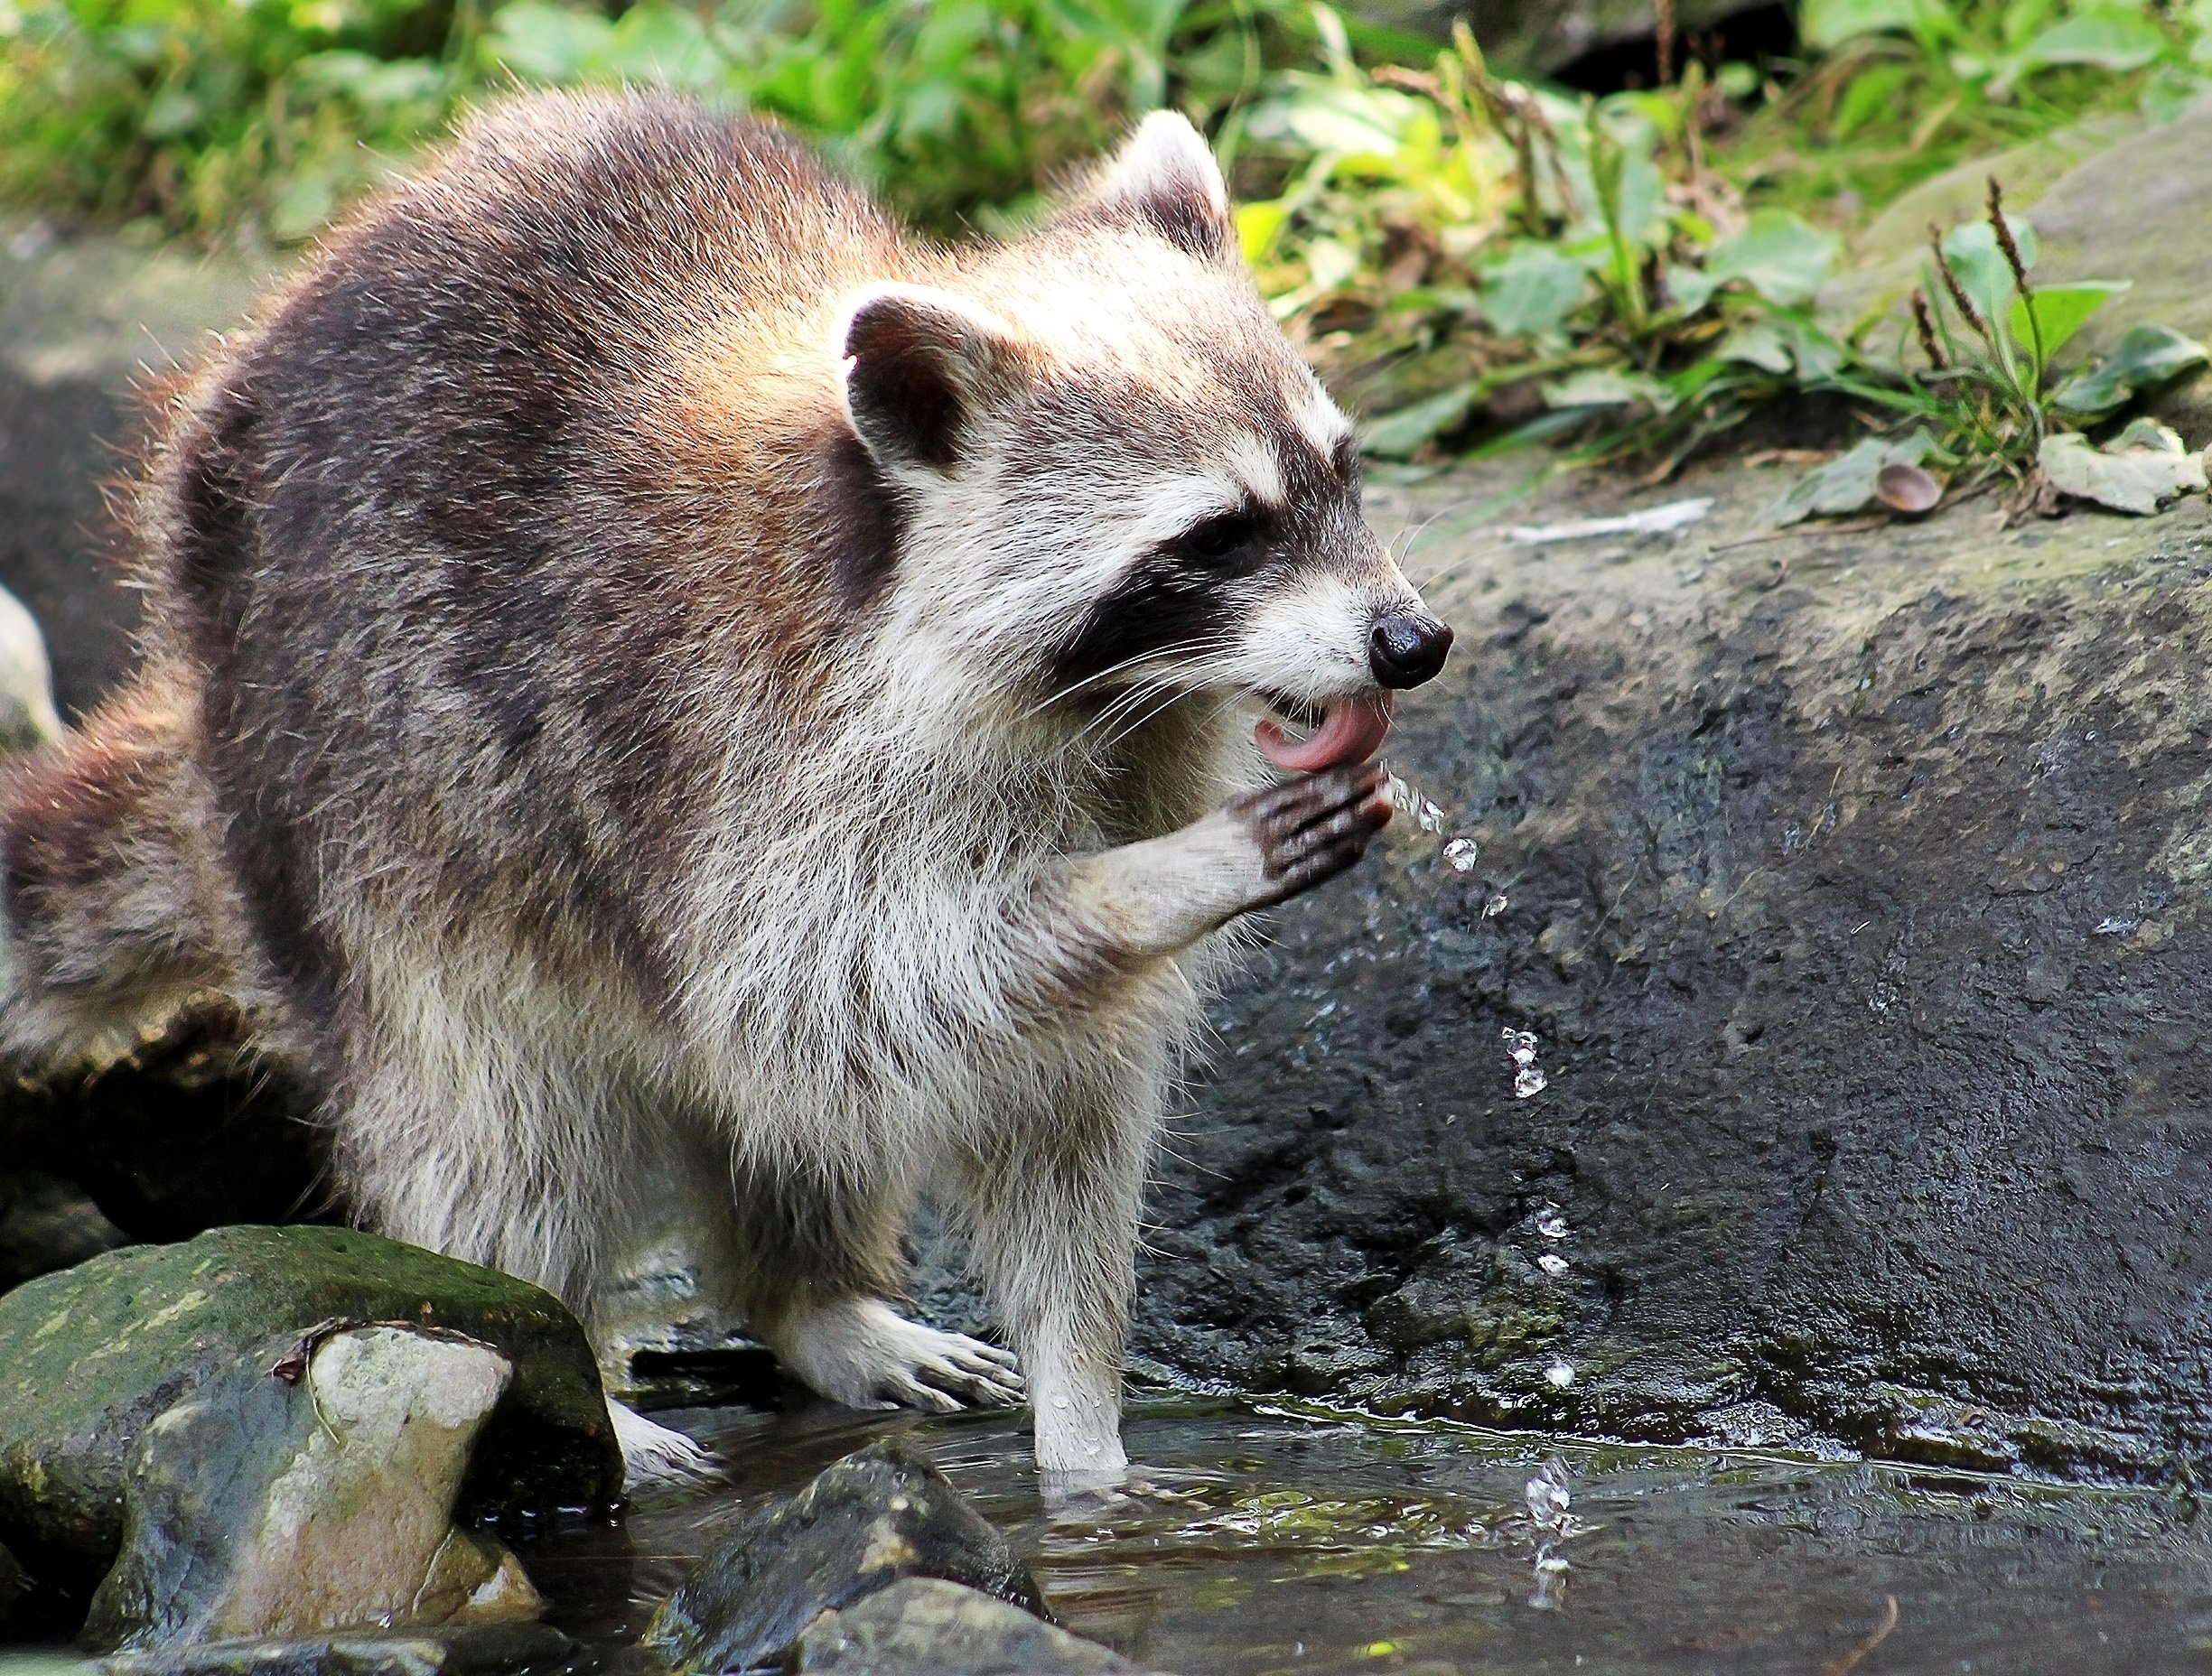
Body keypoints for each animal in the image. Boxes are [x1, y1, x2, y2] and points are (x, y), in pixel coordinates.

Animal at [8, 91, 1451, 1485]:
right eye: (1221, 536)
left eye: (1341, 470)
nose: (1412, 643)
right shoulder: (746, 748)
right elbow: (832, 983)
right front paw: (1153, 883)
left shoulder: (1124, 758)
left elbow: (1055, 1105)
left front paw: (1083, 1438)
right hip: (352, 803)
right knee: (496, 1110)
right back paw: (552, 1341)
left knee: (771, 1121)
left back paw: (802, 1292)